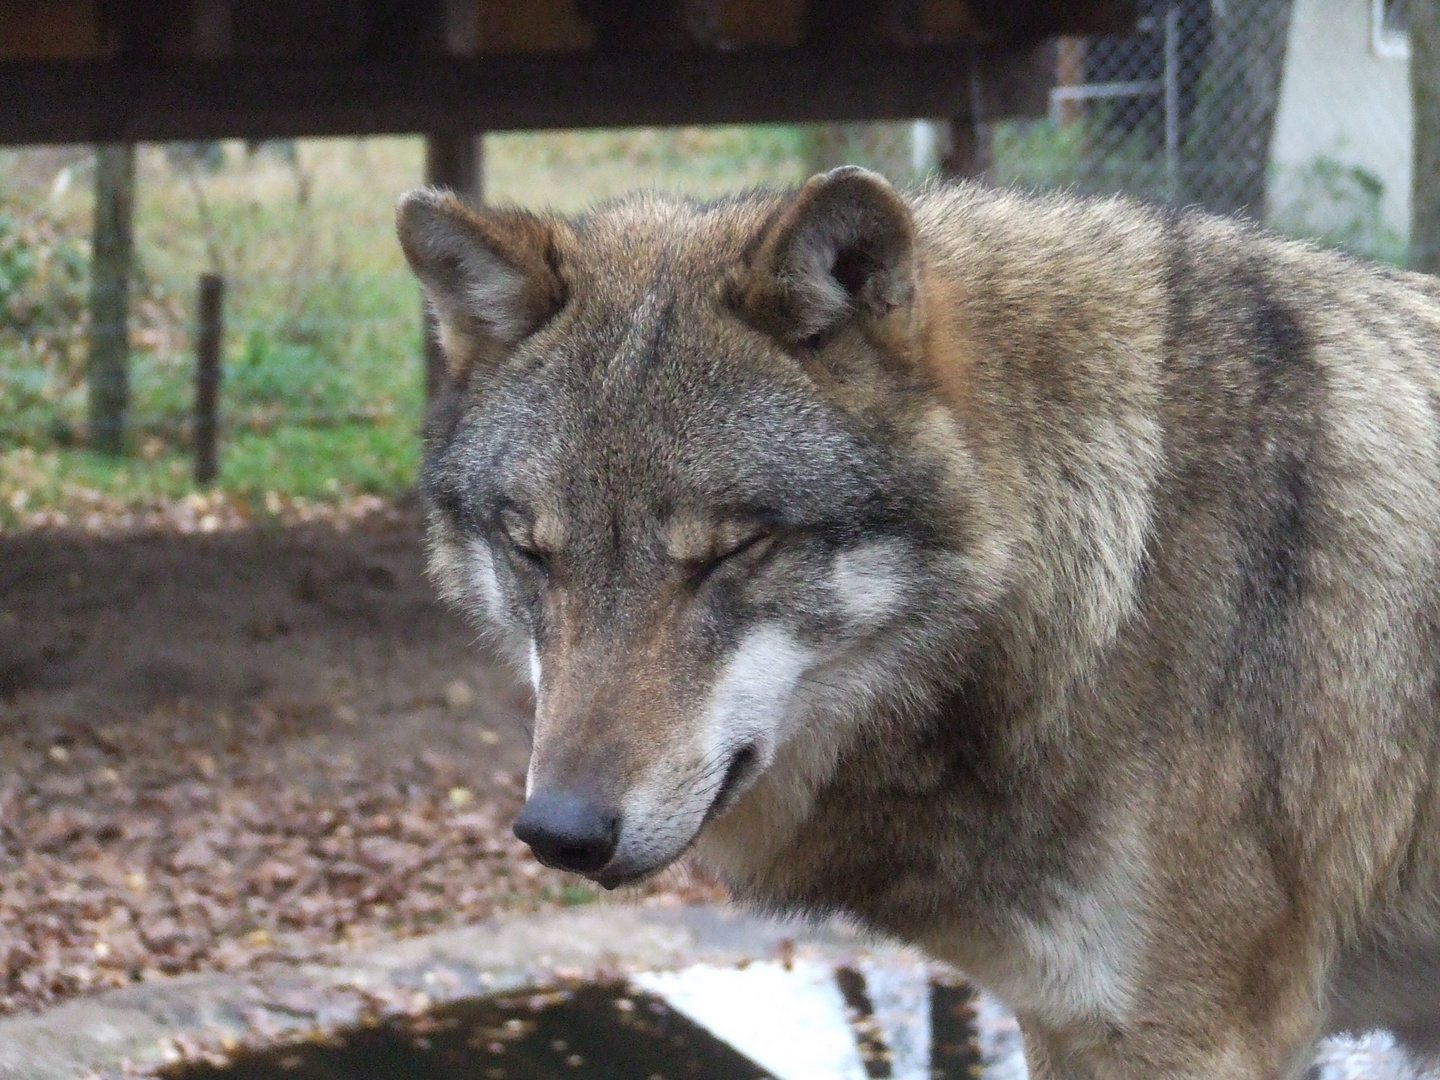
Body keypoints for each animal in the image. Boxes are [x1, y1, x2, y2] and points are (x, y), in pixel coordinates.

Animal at [397, 171, 1440, 1080]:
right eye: (534, 553)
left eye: (734, 551)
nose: (560, 832)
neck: (1118, 576)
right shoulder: (1070, 1020)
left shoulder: (1193, 1033)